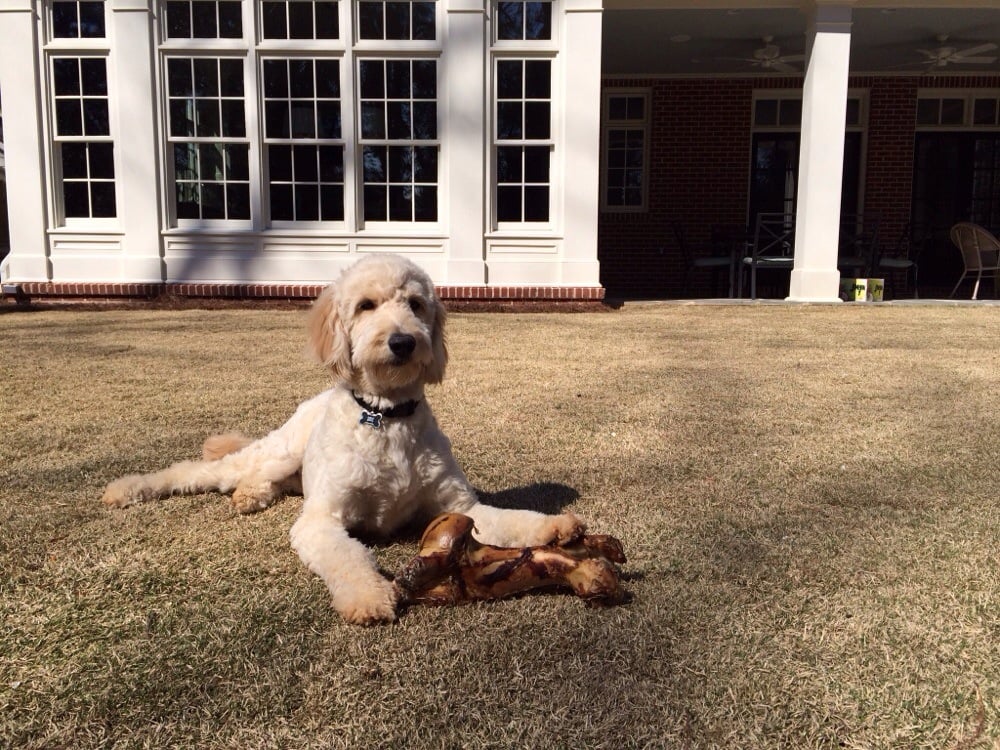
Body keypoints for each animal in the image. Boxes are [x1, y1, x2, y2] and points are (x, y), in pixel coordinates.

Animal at [102, 254, 585, 624]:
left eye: (415, 304)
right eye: (366, 306)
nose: (403, 341)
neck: (386, 416)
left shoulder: (459, 505)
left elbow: (511, 519)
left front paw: (555, 529)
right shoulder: (322, 520)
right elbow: (350, 559)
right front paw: (369, 596)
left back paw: (251, 496)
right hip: (278, 451)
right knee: (203, 470)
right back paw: (130, 488)